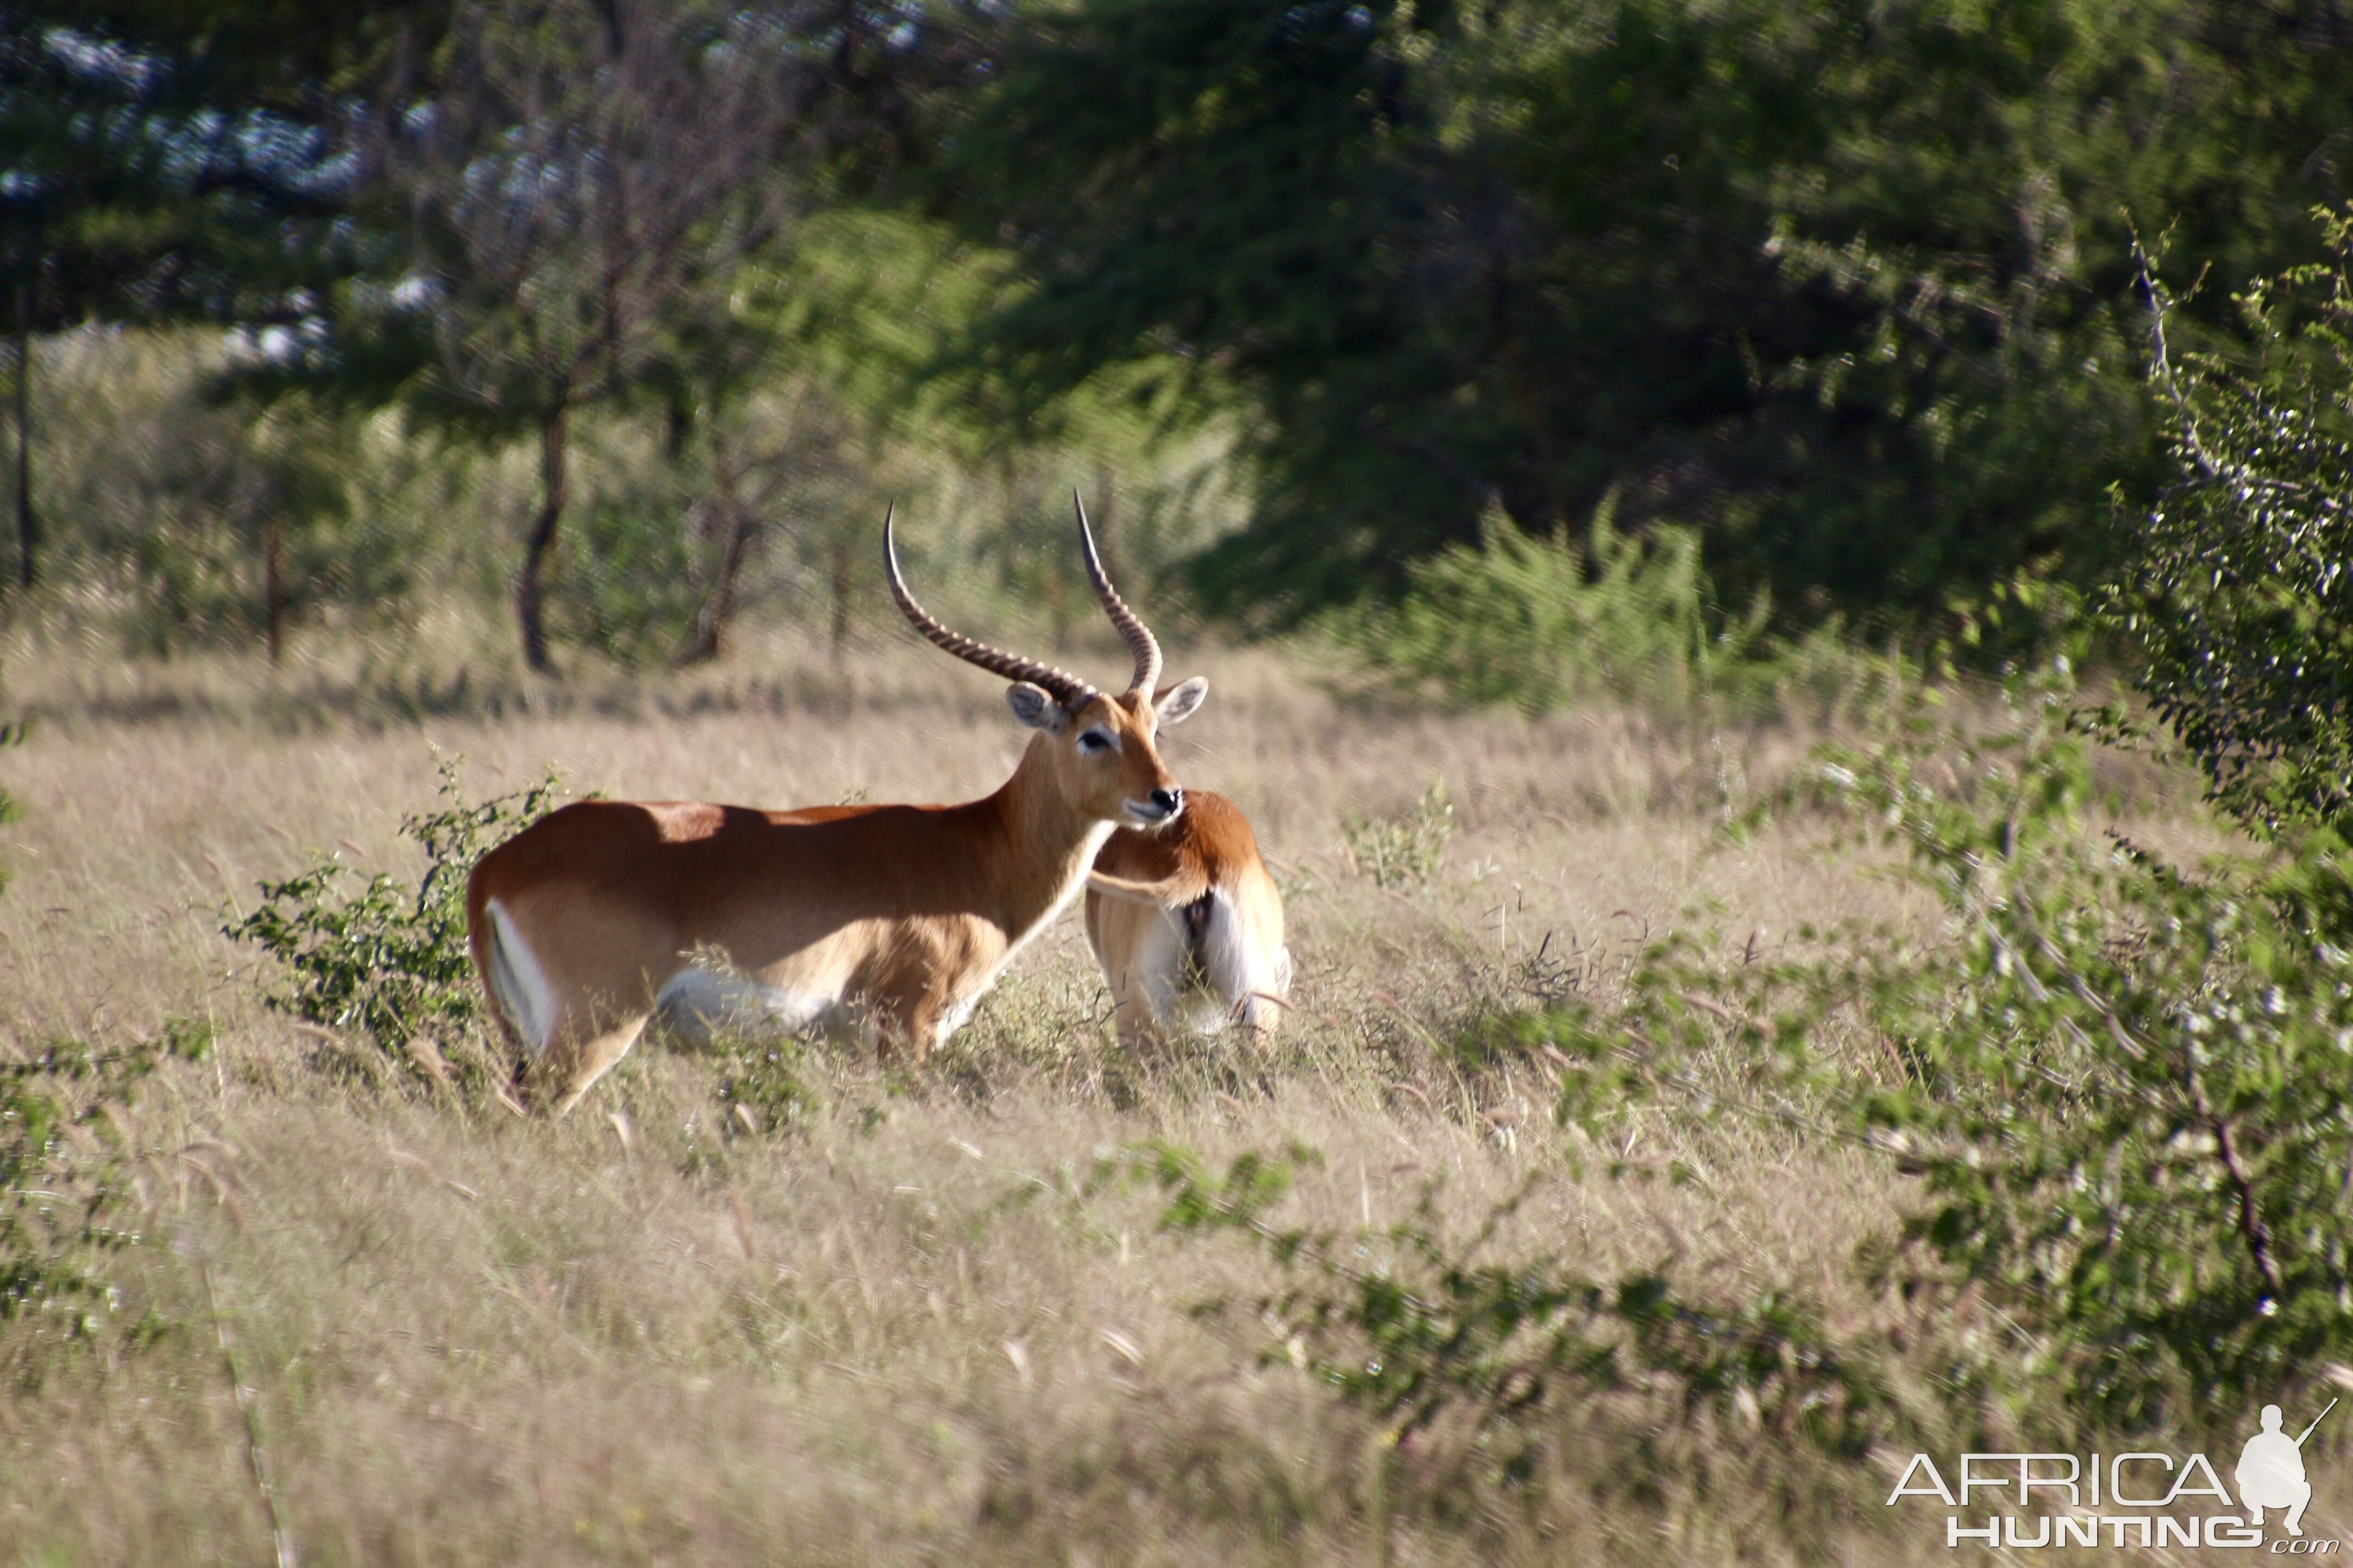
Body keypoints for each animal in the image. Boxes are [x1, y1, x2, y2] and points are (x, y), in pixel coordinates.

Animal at [470, 496, 1223, 1109]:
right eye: (1092, 735)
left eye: (1152, 729)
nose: (1165, 796)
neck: (975, 851)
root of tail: (496, 868)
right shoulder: (905, 1029)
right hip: (590, 1034)